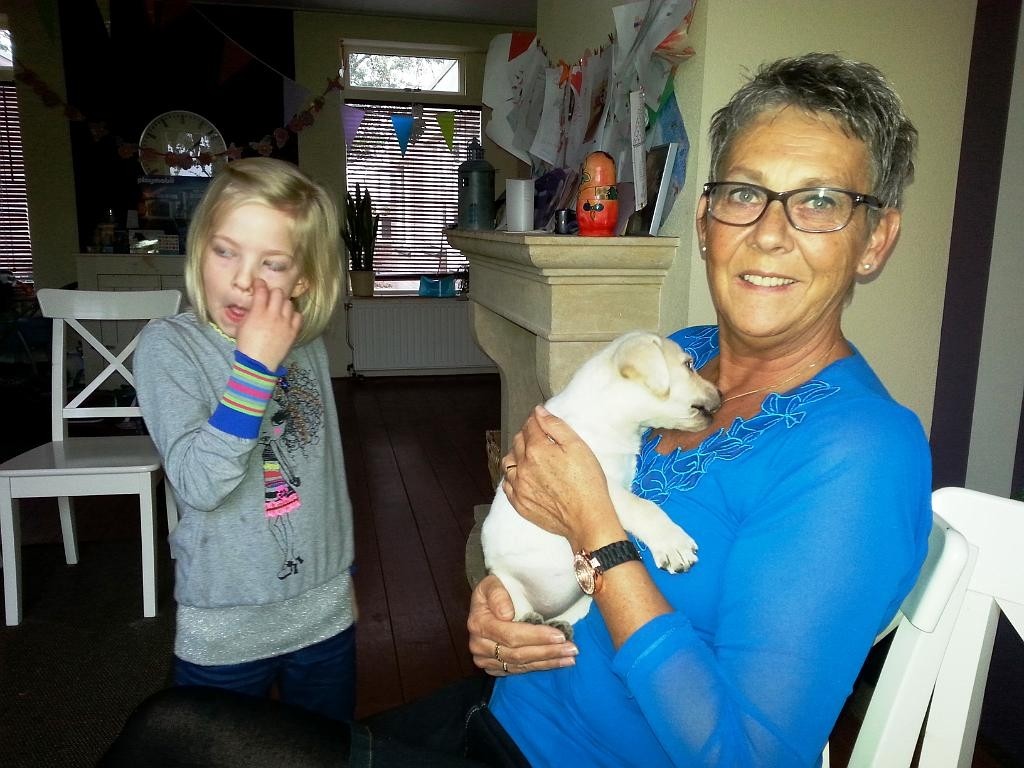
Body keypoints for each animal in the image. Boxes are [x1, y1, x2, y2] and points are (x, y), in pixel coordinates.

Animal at [480, 331, 722, 634]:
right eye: (689, 365)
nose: (722, 395)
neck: (608, 414)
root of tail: (547, 610)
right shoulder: (601, 485)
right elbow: (643, 508)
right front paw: (673, 543)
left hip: (578, 596)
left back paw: (559, 625)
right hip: (503, 577)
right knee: (515, 606)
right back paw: (530, 620)